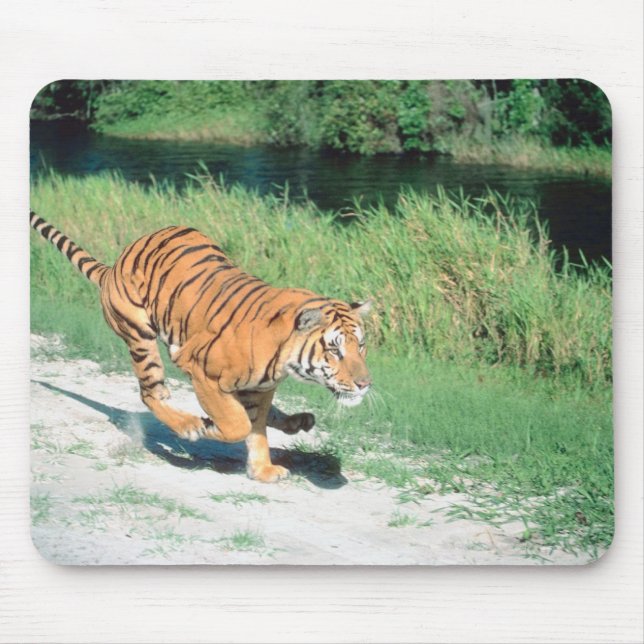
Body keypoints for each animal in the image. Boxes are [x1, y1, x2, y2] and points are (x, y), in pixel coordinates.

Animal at [30, 211, 372, 482]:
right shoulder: (202, 372)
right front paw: (206, 429)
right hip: (140, 337)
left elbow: (256, 429)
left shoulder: (259, 389)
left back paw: (296, 421)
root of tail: (113, 266)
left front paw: (262, 471)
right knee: (151, 393)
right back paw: (188, 424)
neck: (284, 360)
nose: (365, 384)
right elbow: (237, 424)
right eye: (334, 350)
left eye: (362, 346)